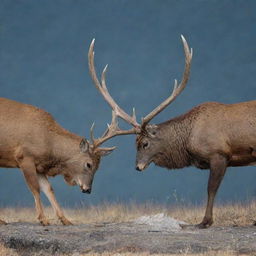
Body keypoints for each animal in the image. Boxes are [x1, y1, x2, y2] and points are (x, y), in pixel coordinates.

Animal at [0, 81, 128, 225]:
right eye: (88, 164)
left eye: (98, 167)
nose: (88, 189)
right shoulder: (25, 156)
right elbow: (35, 188)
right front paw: (43, 219)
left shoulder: (39, 166)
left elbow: (49, 189)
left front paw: (65, 219)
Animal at [88, 35, 256, 228]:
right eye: (134, 143)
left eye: (145, 143)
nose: (137, 166)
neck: (189, 142)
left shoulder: (219, 154)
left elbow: (211, 189)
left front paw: (205, 221)